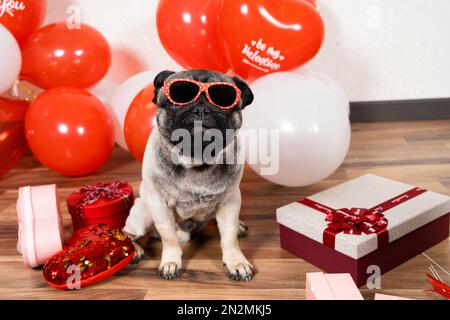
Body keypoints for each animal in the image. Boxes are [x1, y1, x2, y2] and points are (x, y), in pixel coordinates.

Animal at [123, 69, 256, 280]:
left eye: (223, 99)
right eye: (179, 98)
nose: (201, 109)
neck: (196, 159)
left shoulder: (230, 201)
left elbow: (229, 236)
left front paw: (237, 262)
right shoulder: (159, 204)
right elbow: (168, 236)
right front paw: (171, 262)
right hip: (143, 212)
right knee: (128, 232)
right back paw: (133, 249)